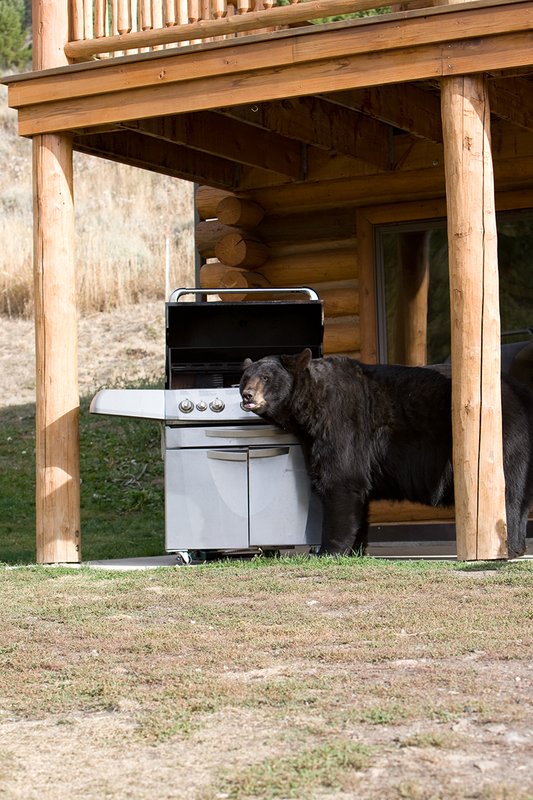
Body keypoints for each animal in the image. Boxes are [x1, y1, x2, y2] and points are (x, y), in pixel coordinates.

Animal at [240, 349, 533, 559]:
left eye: (266, 377)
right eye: (244, 377)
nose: (247, 395)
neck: (310, 406)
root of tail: (520, 391)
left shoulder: (341, 422)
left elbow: (340, 480)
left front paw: (328, 550)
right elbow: (357, 489)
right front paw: (355, 549)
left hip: (504, 436)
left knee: (506, 489)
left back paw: (507, 546)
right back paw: (517, 545)